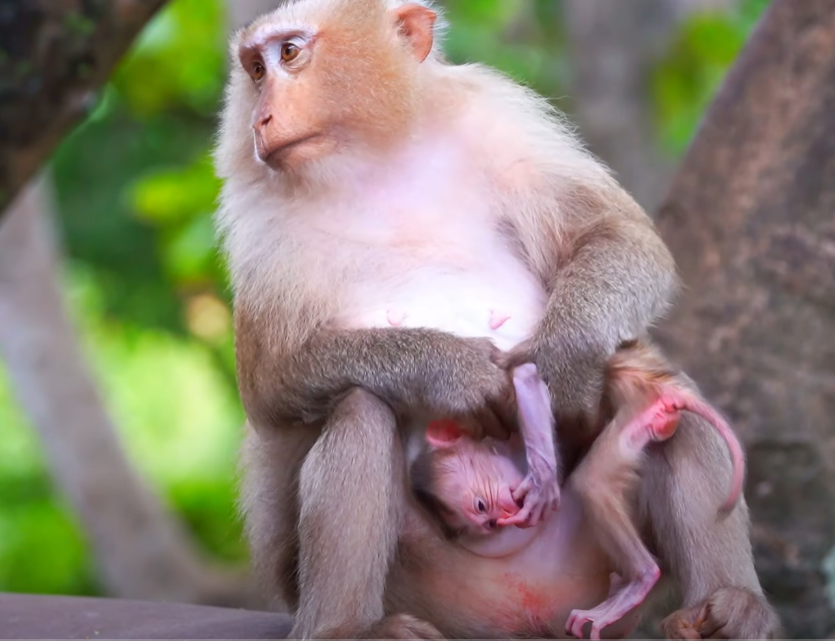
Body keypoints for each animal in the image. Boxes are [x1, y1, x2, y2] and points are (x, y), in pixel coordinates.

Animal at [409, 353, 745, 639]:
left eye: (481, 506)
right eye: (488, 522)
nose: (501, 517)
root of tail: (656, 387)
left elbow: (525, 378)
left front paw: (542, 477)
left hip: (639, 416)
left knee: (592, 481)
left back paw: (641, 579)